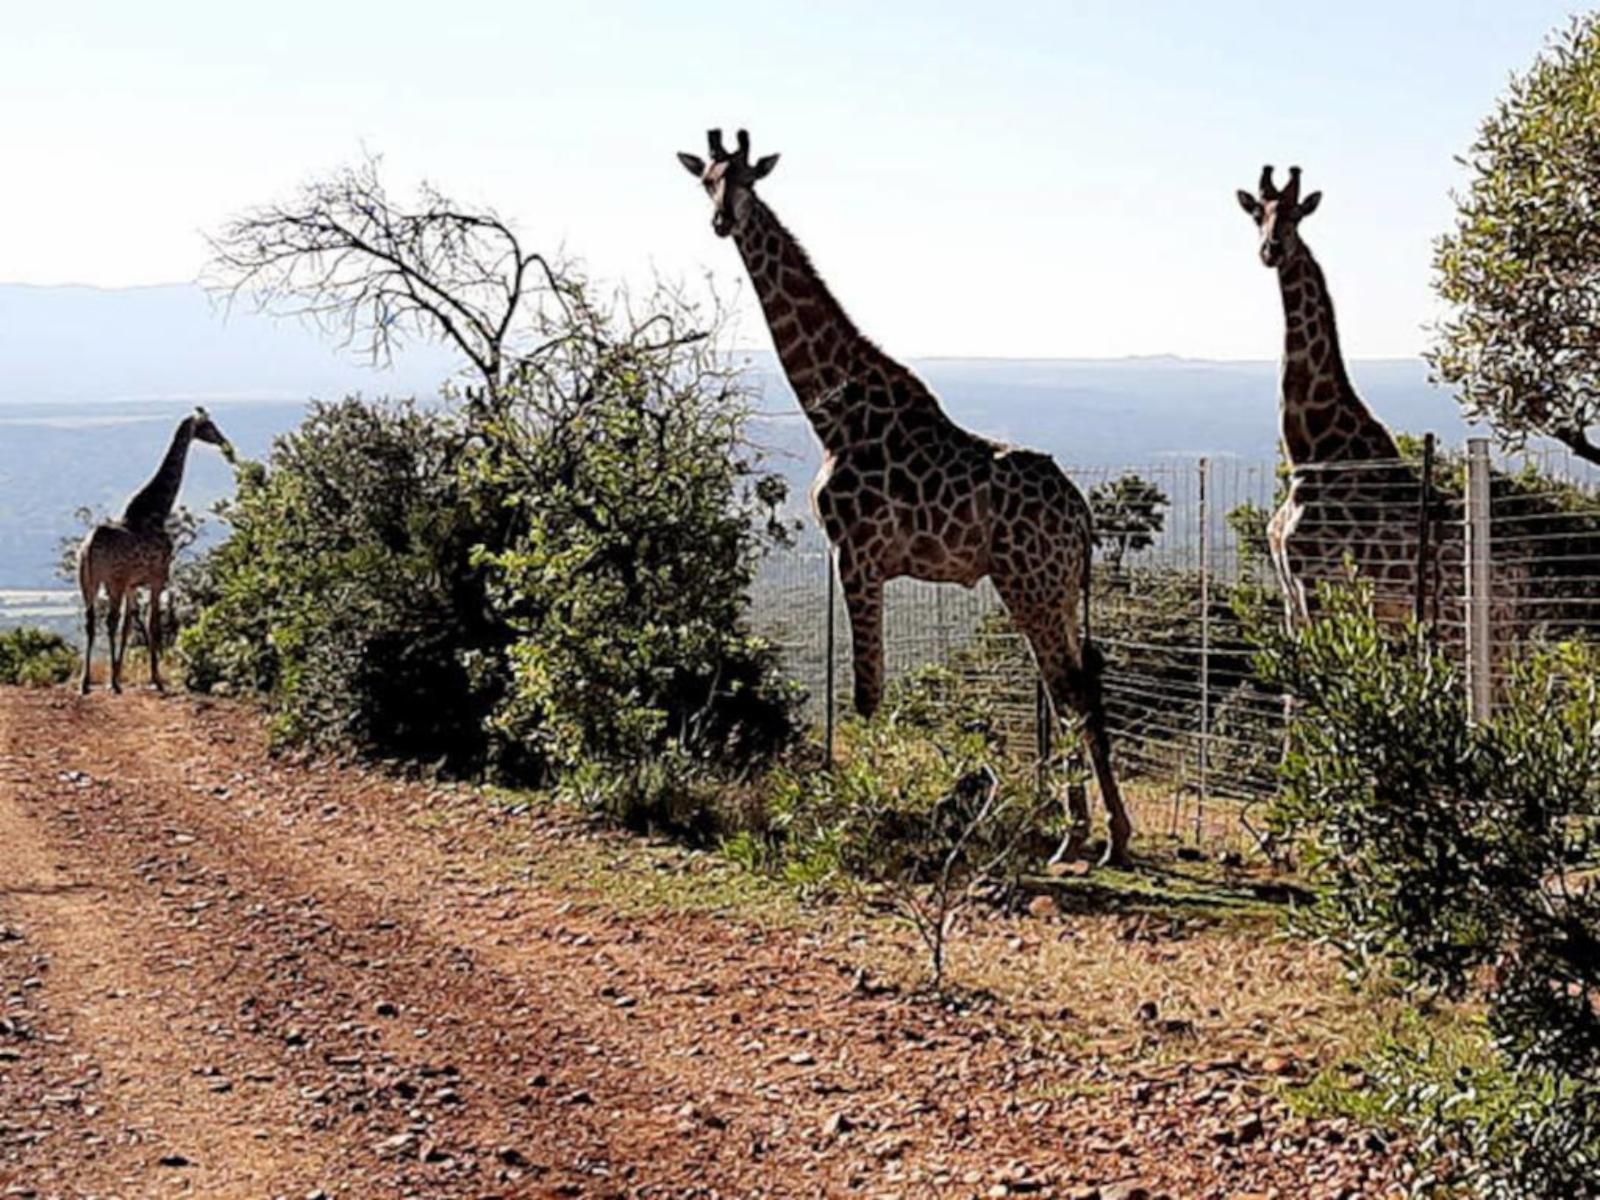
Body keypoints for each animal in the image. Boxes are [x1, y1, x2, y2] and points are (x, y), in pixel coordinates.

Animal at [77, 412, 232, 700]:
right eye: (208, 425)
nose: (223, 441)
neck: (158, 512)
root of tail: (90, 546)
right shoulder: (158, 578)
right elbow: (153, 625)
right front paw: (156, 679)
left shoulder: (132, 585)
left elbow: (130, 627)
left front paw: (119, 675)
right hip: (112, 581)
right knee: (109, 621)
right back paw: (108, 684)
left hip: (87, 581)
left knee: (91, 622)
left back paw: (85, 683)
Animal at [681, 129, 1132, 864]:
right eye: (707, 180)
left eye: (748, 179)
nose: (723, 221)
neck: (832, 410)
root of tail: (1085, 516)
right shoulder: (869, 563)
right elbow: (874, 688)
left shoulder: (857, 554)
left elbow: (867, 694)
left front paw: (858, 812)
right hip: (1056, 589)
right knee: (1077, 683)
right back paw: (1095, 834)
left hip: (1030, 585)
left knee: (1068, 689)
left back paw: (1090, 837)